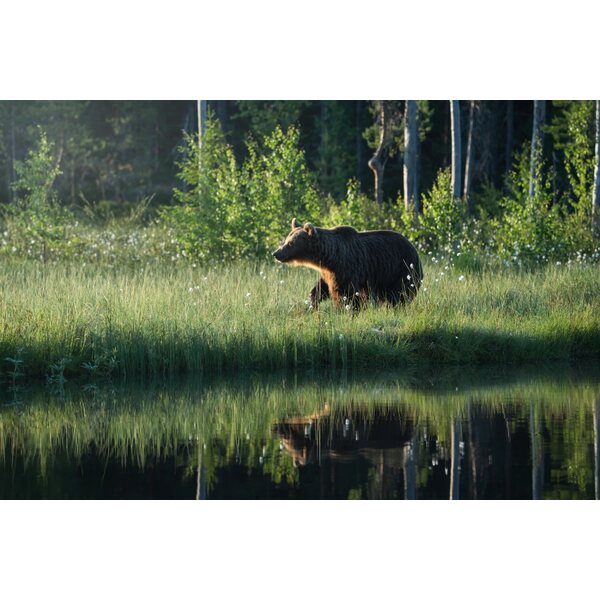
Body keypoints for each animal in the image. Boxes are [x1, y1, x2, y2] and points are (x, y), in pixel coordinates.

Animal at [272, 217, 422, 310]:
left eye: (291, 243)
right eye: (286, 240)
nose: (276, 253)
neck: (329, 258)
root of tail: (415, 250)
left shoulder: (346, 269)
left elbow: (345, 294)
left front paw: (344, 309)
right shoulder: (328, 272)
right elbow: (321, 287)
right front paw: (314, 301)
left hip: (402, 270)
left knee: (399, 294)